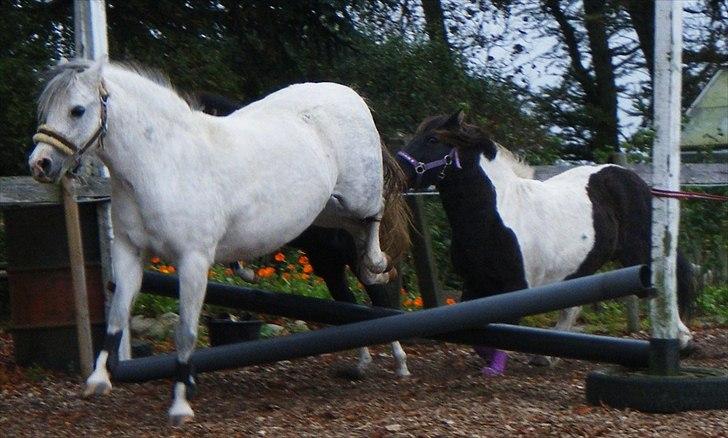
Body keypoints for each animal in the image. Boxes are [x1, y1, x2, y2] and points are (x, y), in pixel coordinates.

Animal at [196, 91, 412, 376]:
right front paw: (251, 273)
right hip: (329, 259)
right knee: (353, 298)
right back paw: (363, 362)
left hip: (354, 213)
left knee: (380, 291)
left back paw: (399, 362)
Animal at [396, 111, 696, 374]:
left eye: (432, 139)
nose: (398, 171)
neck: (495, 215)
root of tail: (637, 182)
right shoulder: (474, 284)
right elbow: (477, 334)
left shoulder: (515, 286)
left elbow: (500, 331)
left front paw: (495, 367)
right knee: (572, 308)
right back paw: (545, 358)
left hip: (638, 257)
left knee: (663, 293)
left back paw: (682, 342)